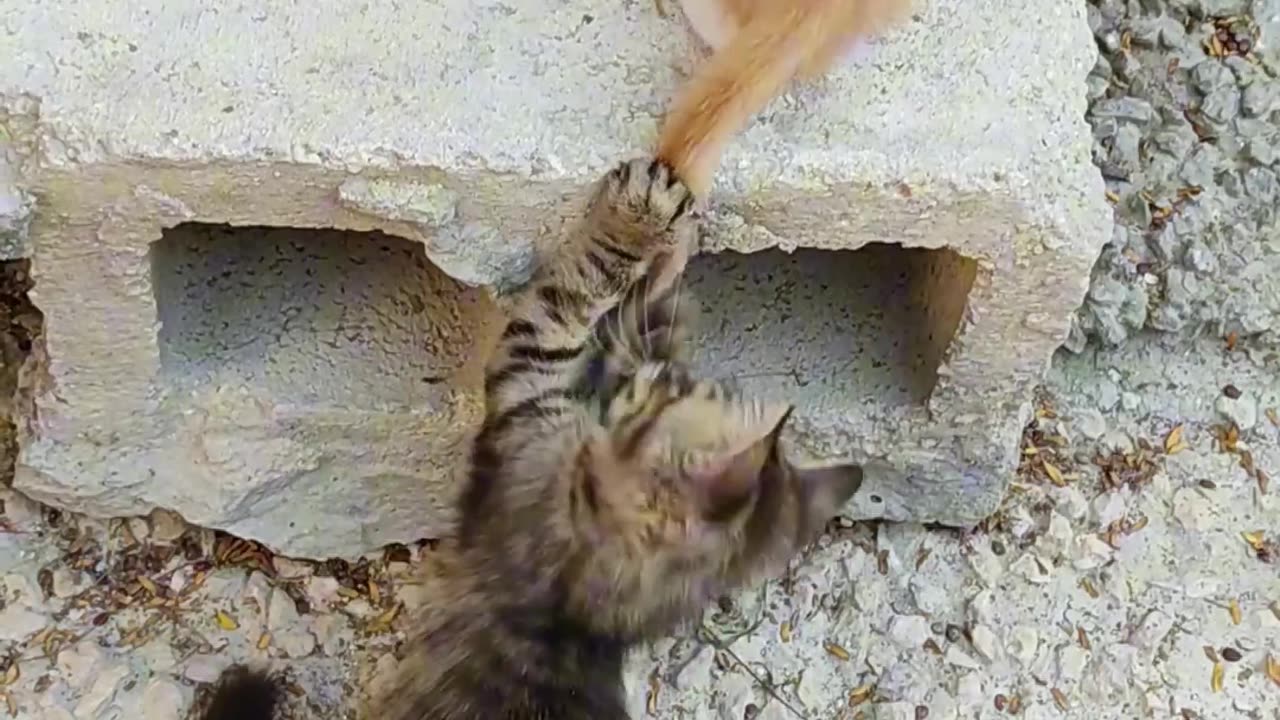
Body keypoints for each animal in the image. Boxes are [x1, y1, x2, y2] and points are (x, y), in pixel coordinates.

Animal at [197, 156, 860, 717]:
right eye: (678, 384)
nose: (654, 376)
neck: (588, 608)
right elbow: (647, 312)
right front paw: (674, 250)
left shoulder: (529, 381)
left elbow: (580, 288)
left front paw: (637, 219)